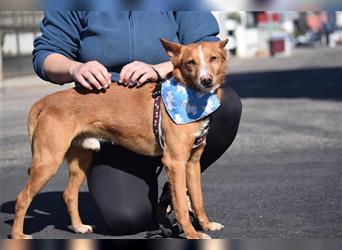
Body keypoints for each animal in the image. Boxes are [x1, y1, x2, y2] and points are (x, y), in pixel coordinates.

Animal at [11, 38, 227, 239]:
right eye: (190, 62)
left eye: (213, 58)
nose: (206, 80)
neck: (191, 98)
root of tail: (47, 100)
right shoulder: (175, 162)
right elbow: (181, 202)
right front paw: (192, 233)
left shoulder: (192, 163)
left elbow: (197, 198)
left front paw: (206, 225)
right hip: (48, 161)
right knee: (22, 198)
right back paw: (17, 235)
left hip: (81, 160)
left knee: (69, 195)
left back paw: (79, 227)